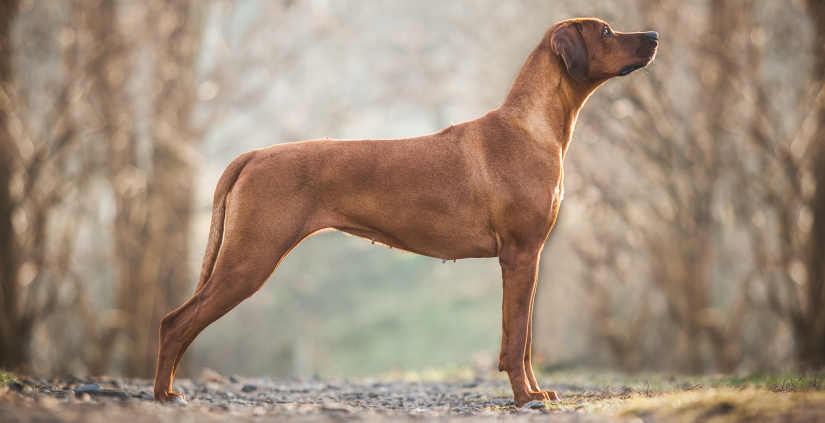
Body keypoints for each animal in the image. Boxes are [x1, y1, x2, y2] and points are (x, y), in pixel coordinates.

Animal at [153, 17, 656, 408]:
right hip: (250, 259)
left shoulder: (528, 258)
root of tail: (253, 154)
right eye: (606, 31)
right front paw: (524, 398)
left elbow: (525, 341)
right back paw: (163, 395)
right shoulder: (520, 255)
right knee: (174, 322)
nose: (653, 35)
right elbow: (516, 342)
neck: (530, 126)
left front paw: (535, 393)